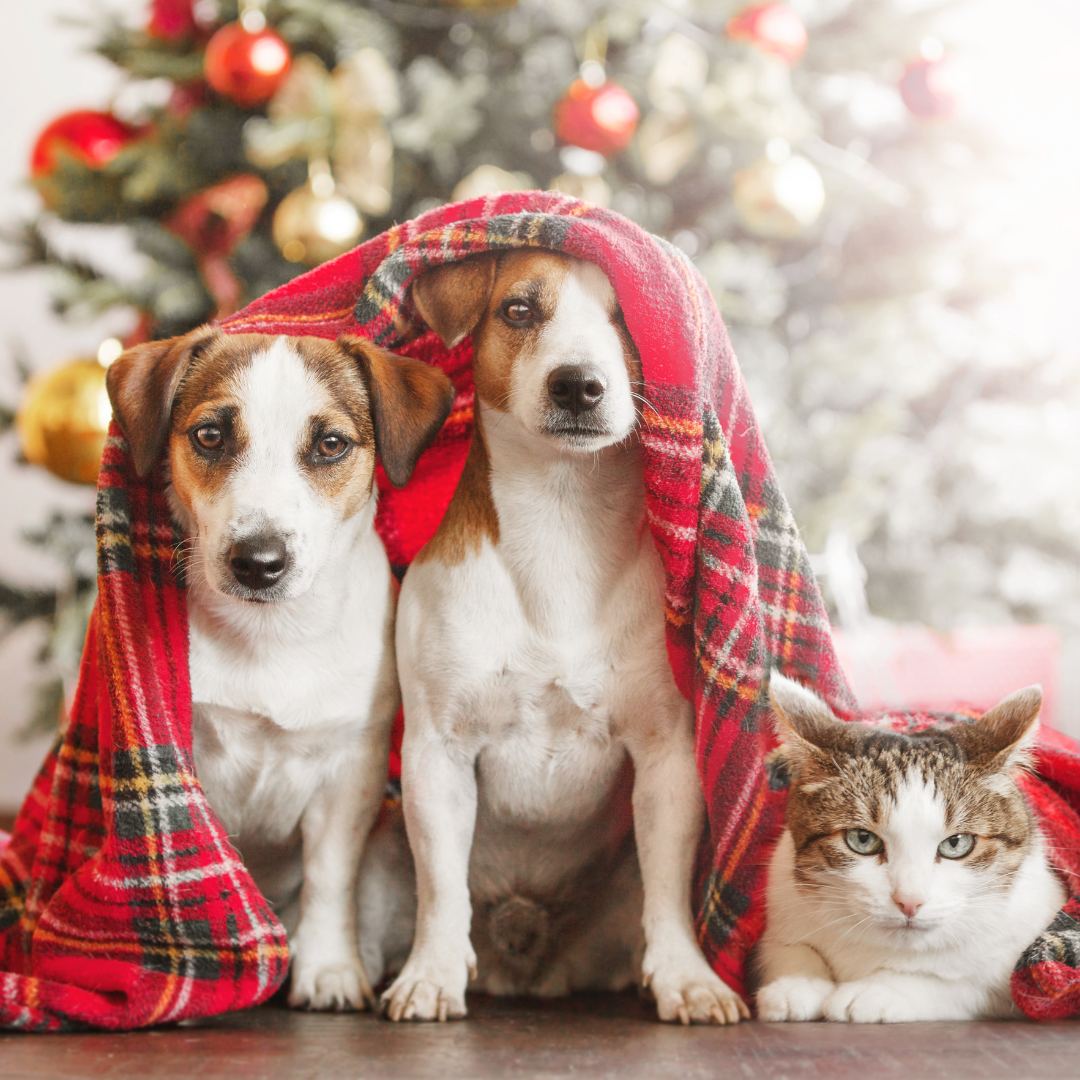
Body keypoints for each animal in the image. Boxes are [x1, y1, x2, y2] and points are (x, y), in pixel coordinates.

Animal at [110, 328, 455, 1010]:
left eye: (331, 444)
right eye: (210, 435)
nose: (258, 561)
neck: (270, 637)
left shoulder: (351, 770)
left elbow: (329, 877)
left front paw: (329, 969)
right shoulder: (192, 758)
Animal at [367, 248, 747, 1023]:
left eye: (628, 315)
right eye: (518, 309)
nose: (578, 384)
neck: (562, 519)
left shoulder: (666, 754)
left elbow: (669, 890)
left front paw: (688, 977)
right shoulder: (437, 752)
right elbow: (441, 886)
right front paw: (431, 974)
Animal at [756, 673, 1067, 1019]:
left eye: (956, 843)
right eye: (862, 839)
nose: (909, 901)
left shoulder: (1019, 962)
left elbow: (957, 983)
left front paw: (874, 992)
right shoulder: (783, 895)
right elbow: (788, 947)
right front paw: (795, 985)